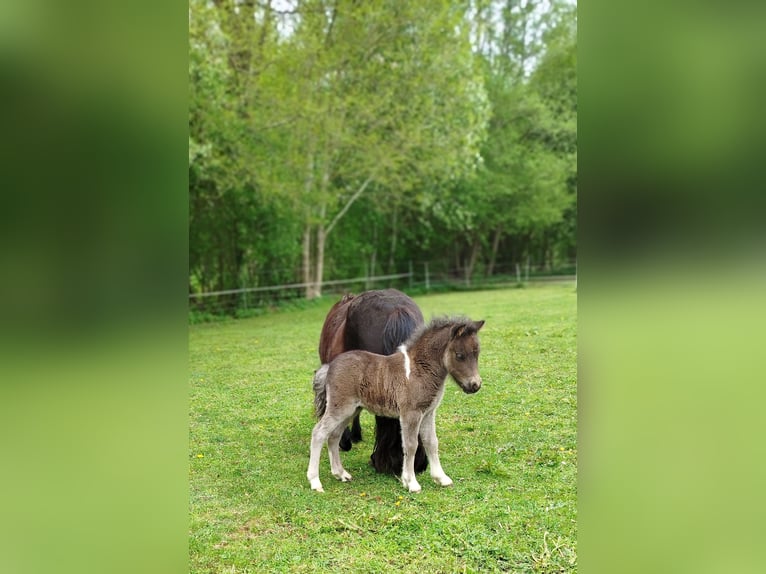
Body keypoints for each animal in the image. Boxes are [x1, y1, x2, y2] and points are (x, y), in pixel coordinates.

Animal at [308, 316, 485, 493]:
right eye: (460, 355)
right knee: (318, 433)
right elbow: (411, 445)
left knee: (334, 436)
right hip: (340, 408)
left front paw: (441, 478)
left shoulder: (428, 412)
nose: (475, 385)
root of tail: (329, 366)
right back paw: (315, 482)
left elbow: (431, 442)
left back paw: (341, 474)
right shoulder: (410, 413)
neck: (419, 369)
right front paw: (411, 482)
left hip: (351, 411)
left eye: (477, 353)